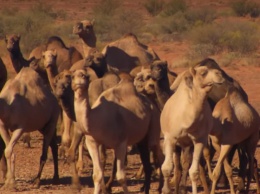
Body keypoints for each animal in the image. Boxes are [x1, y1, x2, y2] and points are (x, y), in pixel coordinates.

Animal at [159, 65, 224, 194]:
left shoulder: (199, 140)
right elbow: (167, 168)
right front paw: (166, 190)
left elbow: (194, 172)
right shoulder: (170, 138)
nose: (219, 74)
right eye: (203, 73)